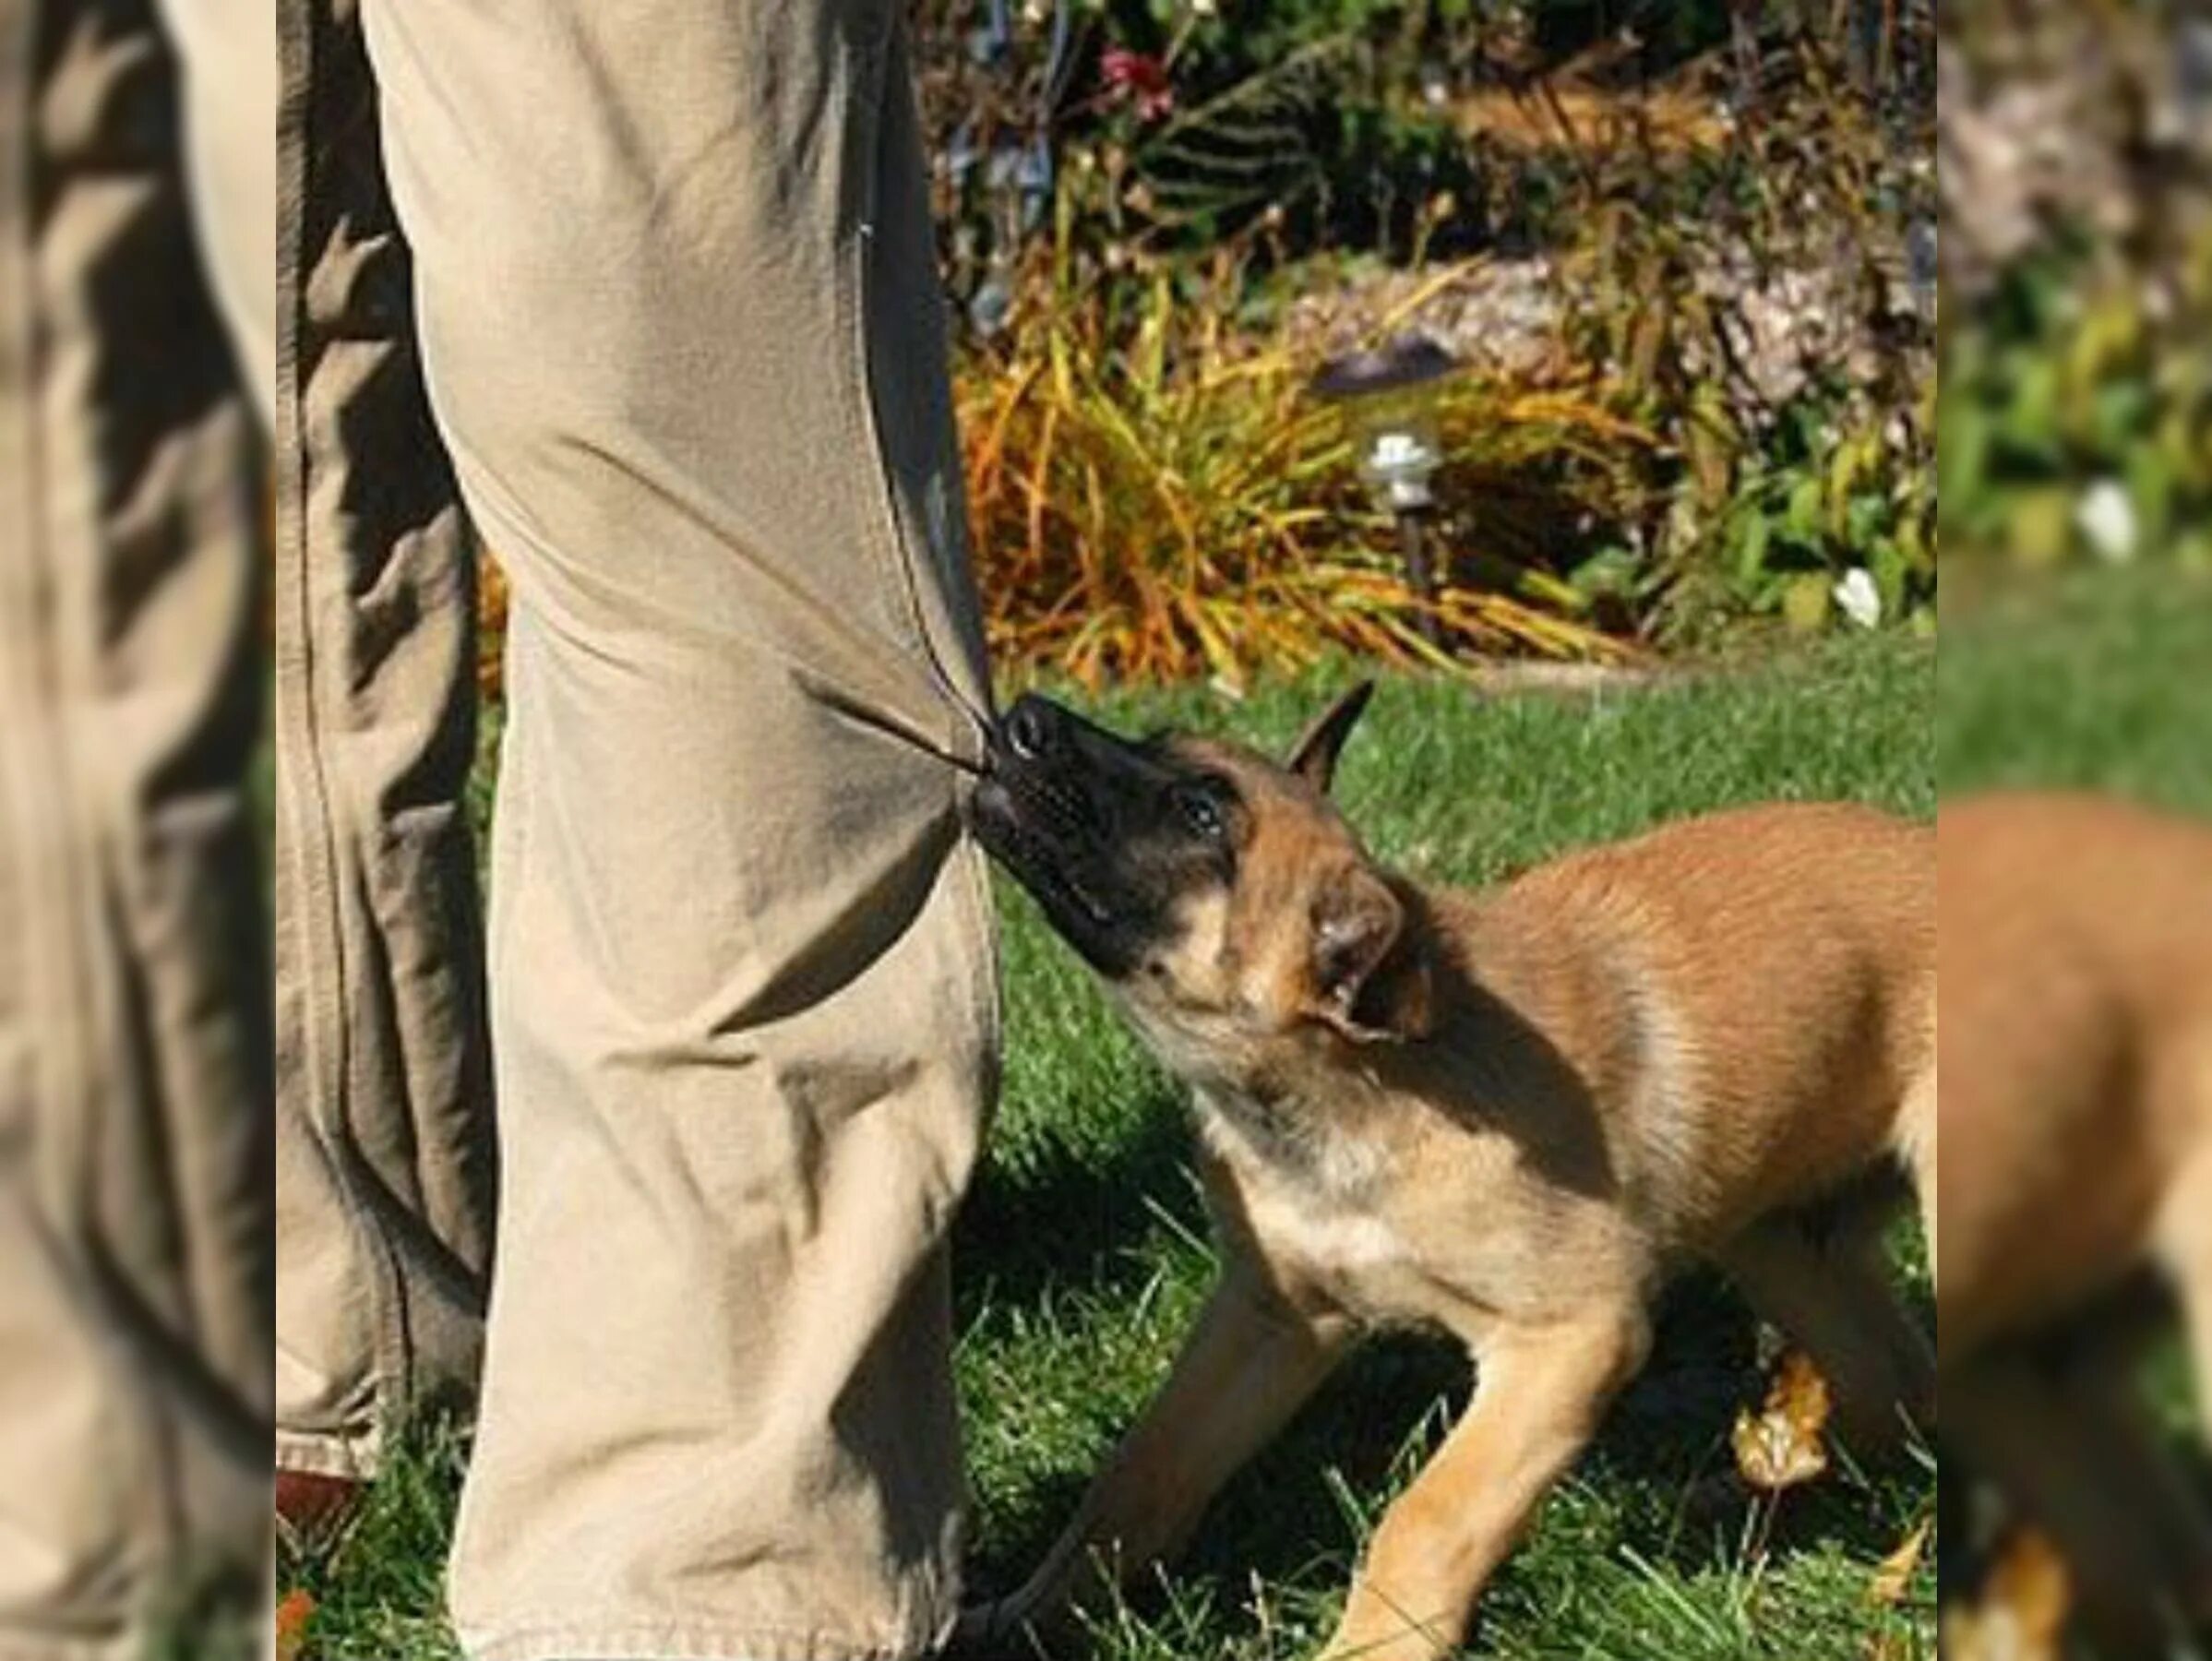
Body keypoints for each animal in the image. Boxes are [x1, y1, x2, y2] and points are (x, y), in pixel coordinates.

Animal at [968, 686, 1937, 1661]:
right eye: (1161, 743)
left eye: (1200, 815)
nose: (1024, 716)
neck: (1368, 1077)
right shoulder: (1271, 1318)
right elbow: (1143, 1470)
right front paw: (1035, 1612)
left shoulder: (1568, 1341)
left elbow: (1428, 1516)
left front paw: (1372, 1648)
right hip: (1785, 1251)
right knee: (1895, 1397)